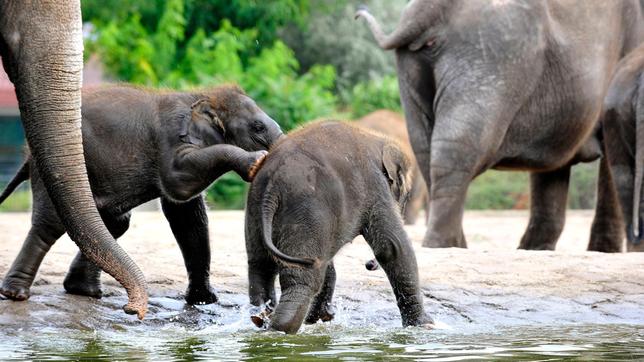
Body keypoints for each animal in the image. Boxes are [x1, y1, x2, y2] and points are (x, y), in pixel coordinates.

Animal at [0, 83, 282, 304]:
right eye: (258, 127)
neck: (205, 95)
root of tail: (27, 156)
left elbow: (186, 214)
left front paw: (203, 300)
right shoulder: (172, 140)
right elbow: (179, 184)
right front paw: (255, 162)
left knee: (114, 224)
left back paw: (84, 291)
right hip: (53, 171)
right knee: (51, 224)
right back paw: (16, 294)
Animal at [247, 121, 432, 334]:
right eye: (405, 194)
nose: (369, 265)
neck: (377, 138)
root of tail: (272, 186)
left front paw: (321, 317)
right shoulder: (375, 185)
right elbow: (392, 247)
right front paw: (426, 325)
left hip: (256, 209)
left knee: (260, 269)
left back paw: (261, 321)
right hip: (307, 209)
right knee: (302, 279)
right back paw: (278, 330)